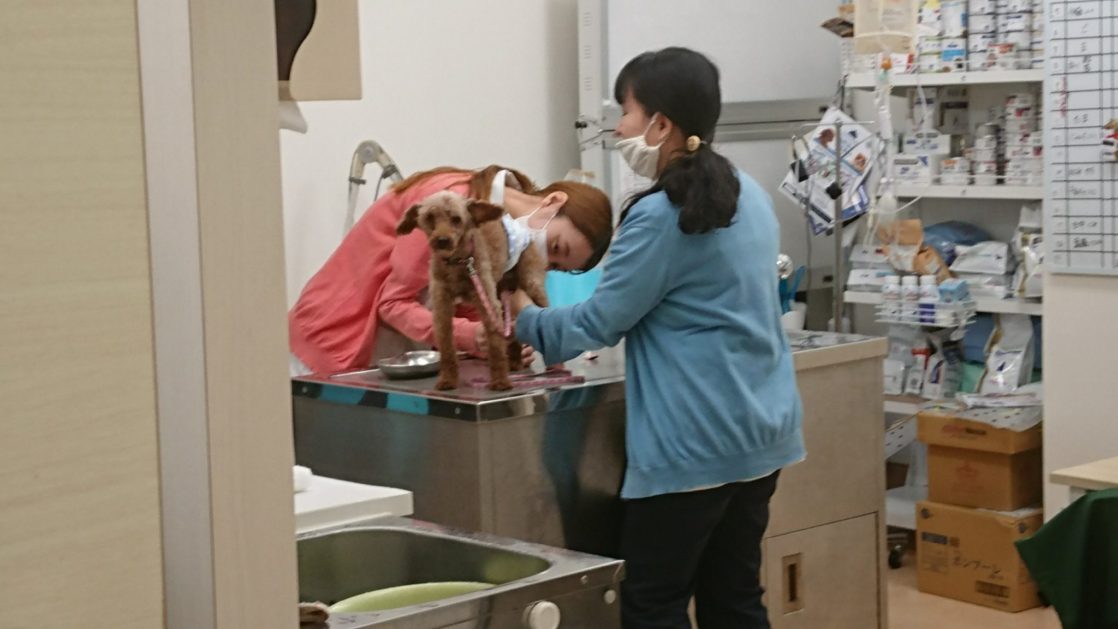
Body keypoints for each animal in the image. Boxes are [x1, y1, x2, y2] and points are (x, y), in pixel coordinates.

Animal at [396, 191, 549, 391]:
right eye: (429, 217)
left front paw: (500, 381)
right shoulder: (441, 306)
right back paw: (515, 362)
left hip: (531, 283)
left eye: (456, 219)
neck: (458, 262)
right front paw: (448, 380)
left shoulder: (488, 304)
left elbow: (495, 345)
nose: (442, 241)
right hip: (503, 294)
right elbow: (446, 345)